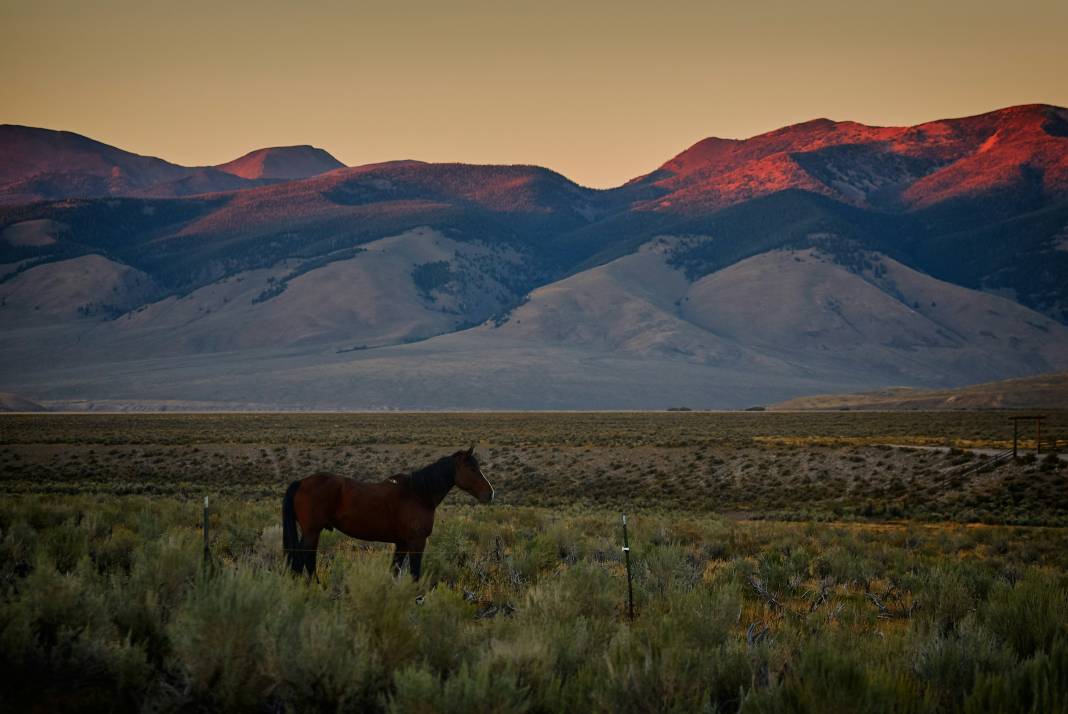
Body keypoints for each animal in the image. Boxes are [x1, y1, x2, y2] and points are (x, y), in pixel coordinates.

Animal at [277, 441, 489, 576]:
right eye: (472, 469)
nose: (490, 493)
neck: (418, 494)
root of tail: (302, 482)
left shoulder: (402, 543)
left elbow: (395, 571)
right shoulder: (417, 542)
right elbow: (415, 574)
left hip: (313, 532)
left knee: (306, 561)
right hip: (312, 532)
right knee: (302, 561)